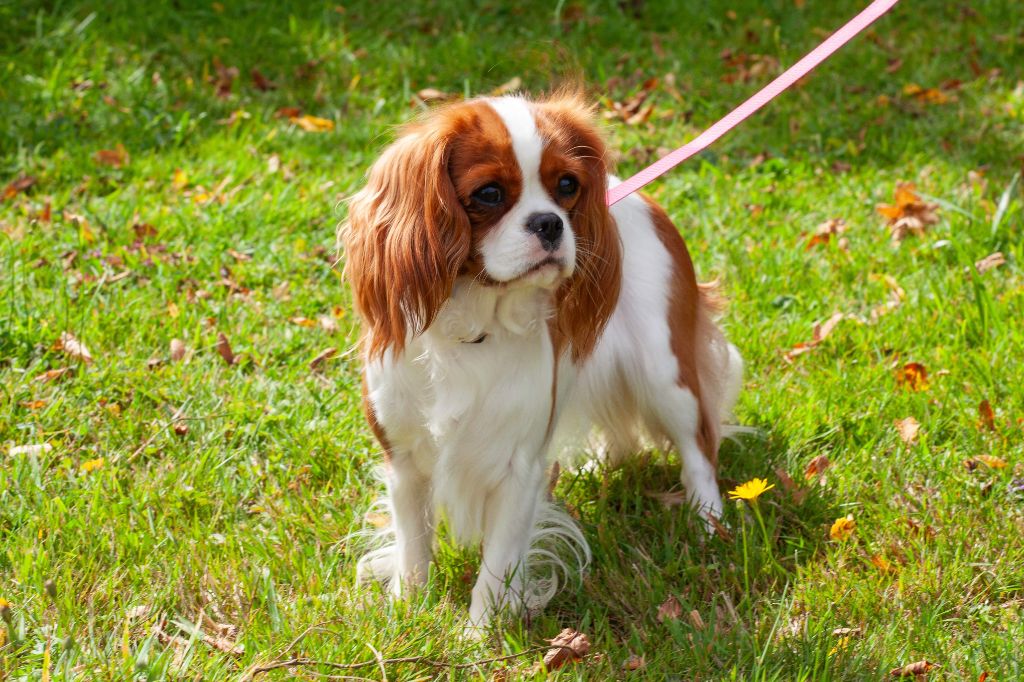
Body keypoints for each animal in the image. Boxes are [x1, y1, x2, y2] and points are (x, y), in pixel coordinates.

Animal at [344, 90, 745, 626]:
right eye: (489, 194)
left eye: (567, 186)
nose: (550, 222)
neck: (474, 327)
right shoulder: (403, 460)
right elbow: (413, 545)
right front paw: (408, 611)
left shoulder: (519, 468)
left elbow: (497, 564)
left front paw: (478, 634)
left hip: (666, 375)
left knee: (699, 447)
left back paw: (708, 523)